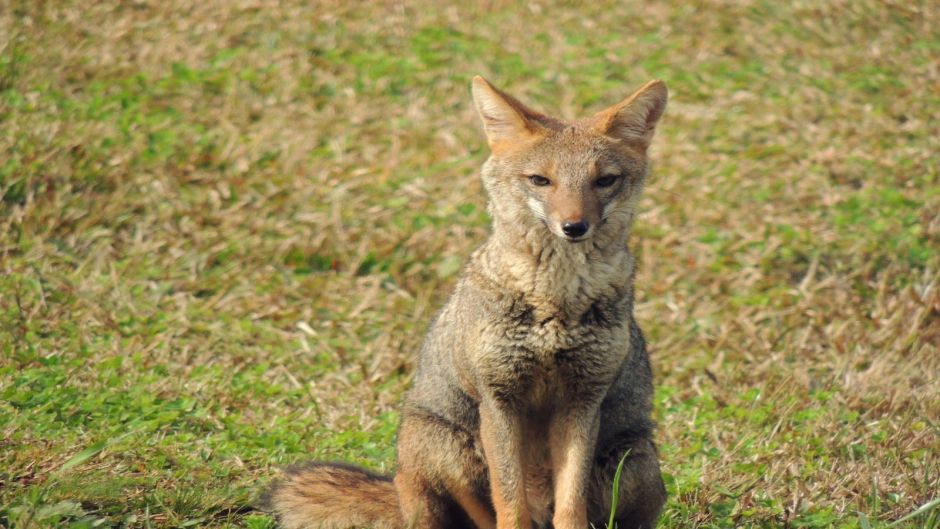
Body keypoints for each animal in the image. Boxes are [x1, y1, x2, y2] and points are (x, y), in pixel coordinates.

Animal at [262, 75, 668, 528]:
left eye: (604, 181)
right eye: (540, 180)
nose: (574, 227)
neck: (555, 303)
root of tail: (398, 489)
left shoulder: (582, 401)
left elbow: (570, 506)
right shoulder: (498, 399)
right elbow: (509, 503)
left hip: (635, 460)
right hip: (443, 444)